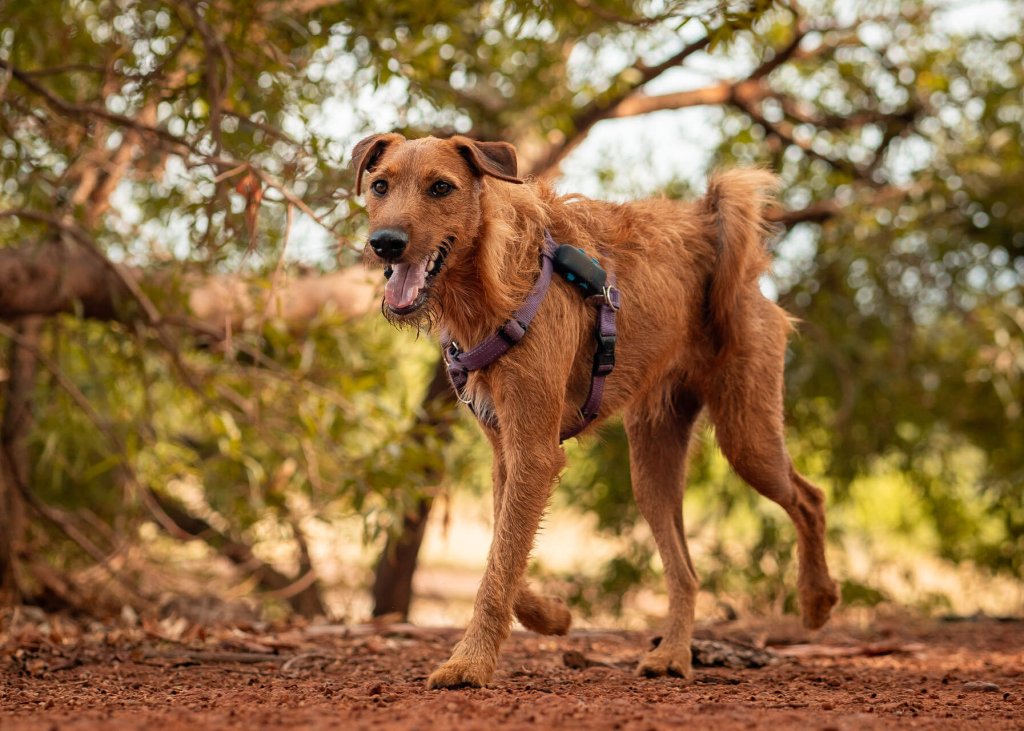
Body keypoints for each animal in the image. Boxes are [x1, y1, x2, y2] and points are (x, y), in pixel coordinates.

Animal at [356, 134, 835, 688]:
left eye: (441, 187)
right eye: (380, 186)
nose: (386, 243)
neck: (491, 284)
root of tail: (708, 229)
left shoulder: (536, 454)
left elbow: (498, 567)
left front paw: (468, 663)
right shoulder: (510, 453)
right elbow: (505, 553)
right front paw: (551, 616)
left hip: (747, 438)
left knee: (810, 498)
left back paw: (817, 600)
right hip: (652, 467)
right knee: (686, 572)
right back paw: (673, 655)